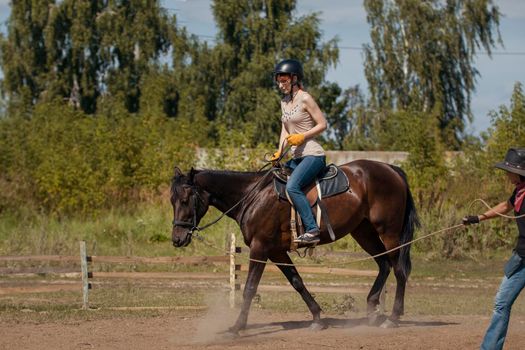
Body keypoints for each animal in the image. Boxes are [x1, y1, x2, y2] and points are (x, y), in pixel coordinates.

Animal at [170, 159, 420, 334]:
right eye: (172, 201)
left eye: (185, 200)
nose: (177, 239)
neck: (252, 195)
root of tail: (391, 169)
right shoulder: (277, 251)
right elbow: (297, 282)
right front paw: (317, 318)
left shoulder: (260, 248)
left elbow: (250, 288)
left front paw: (238, 326)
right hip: (363, 232)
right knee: (384, 264)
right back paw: (372, 309)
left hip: (388, 232)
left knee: (399, 270)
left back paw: (393, 317)